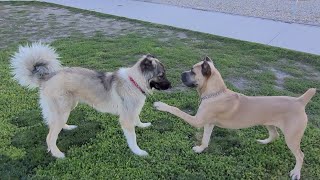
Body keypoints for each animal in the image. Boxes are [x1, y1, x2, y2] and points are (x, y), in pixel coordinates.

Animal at [154, 56, 316, 180]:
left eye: (193, 72)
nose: (181, 73)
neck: (215, 93)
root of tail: (300, 101)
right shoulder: (208, 123)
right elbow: (205, 139)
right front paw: (200, 149)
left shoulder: (197, 121)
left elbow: (176, 109)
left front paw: (161, 105)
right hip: (269, 124)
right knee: (274, 135)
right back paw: (263, 142)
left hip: (292, 137)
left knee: (300, 155)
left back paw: (296, 172)